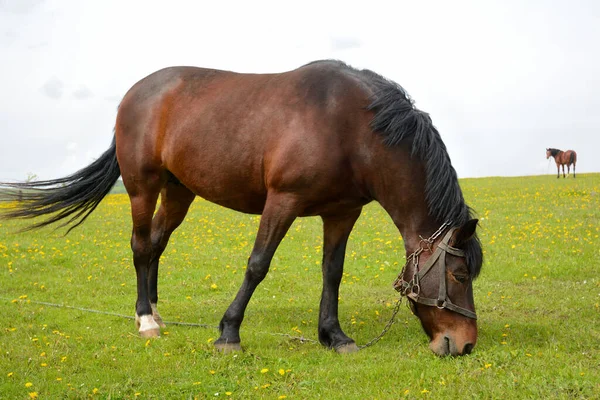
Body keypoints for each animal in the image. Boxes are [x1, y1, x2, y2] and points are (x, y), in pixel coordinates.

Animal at [1, 60, 482, 356]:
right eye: (459, 275)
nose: (464, 344)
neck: (351, 127)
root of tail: (135, 94)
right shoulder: (282, 201)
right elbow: (257, 265)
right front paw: (229, 332)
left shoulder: (343, 212)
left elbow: (333, 272)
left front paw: (334, 335)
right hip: (142, 187)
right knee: (140, 246)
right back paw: (145, 320)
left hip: (179, 193)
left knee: (156, 243)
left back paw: (156, 310)